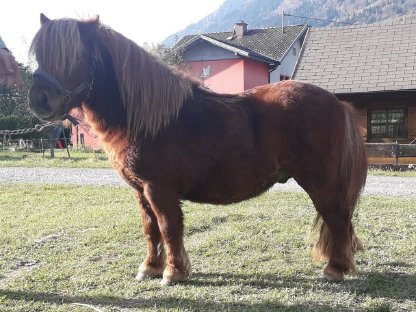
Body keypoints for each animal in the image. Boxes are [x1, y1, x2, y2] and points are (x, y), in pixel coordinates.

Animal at [30, 15, 368, 288]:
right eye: (40, 55)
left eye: (73, 55)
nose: (38, 100)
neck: (147, 119)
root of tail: (337, 103)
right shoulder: (141, 191)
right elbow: (151, 229)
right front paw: (150, 267)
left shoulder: (159, 189)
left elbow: (169, 228)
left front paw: (173, 272)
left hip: (321, 183)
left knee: (337, 219)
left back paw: (335, 270)